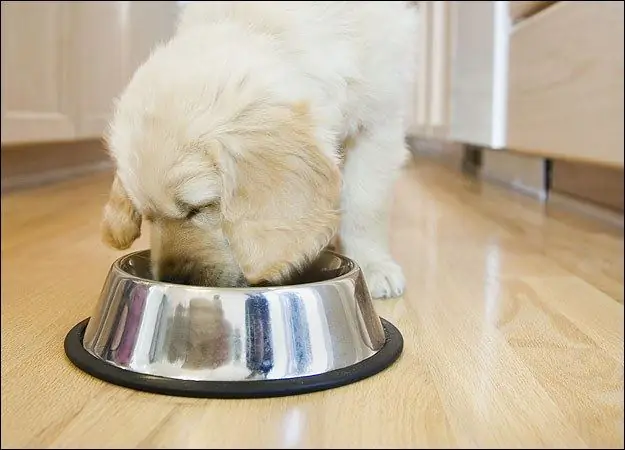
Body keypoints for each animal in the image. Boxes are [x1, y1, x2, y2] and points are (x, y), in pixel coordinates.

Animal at [102, 0, 416, 298]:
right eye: (147, 217)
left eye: (198, 208)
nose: (172, 280)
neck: (264, 27)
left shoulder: (377, 123)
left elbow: (366, 207)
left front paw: (374, 264)